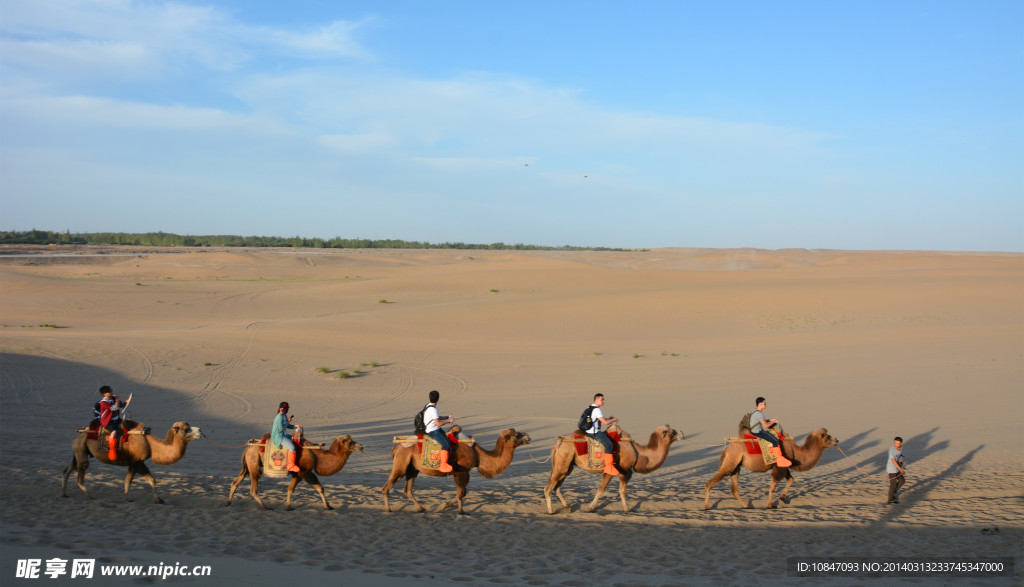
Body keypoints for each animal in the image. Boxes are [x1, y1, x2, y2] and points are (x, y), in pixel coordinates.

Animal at [62, 415, 203, 504]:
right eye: (186, 429)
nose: (200, 430)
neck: (151, 445)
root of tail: (78, 434)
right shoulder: (137, 462)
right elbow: (149, 480)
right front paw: (157, 500)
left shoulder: (134, 463)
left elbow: (129, 480)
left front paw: (127, 498)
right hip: (81, 451)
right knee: (80, 476)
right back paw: (91, 497)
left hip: (79, 450)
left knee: (68, 469)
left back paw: (64, 494)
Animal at [224, 430, 364, 508]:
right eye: (349, 442)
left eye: (353, 440)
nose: (361, 446)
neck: (316, 455)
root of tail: (248, 448)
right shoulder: (300, 473)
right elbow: (291, 489)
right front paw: (288, 506)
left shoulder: (308, 472)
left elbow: (320, 488)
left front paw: (328, 506)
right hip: (254, 465)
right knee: (253, 489)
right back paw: (265, 507)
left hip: (248, 466)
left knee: (236, 482)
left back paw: (228, 503)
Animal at [382, 426, 532, 512]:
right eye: (516, 435)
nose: (528, 436)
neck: (478, 455)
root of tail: (397, 447)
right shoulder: (462, 471)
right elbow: (461, 493)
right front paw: (460, 511)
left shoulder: (460, 473)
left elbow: (462, 493)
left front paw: (445, 505)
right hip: (401, 464)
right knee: (387, 486)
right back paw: (388, 509)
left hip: (412, 469)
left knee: (408, 490)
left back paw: (421, 508)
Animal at [540, 426, 684, 512]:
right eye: (672, 432)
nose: (682, 433)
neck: (638, 453)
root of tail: (558, 444)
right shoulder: (618, 471)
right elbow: (604, 490)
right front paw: (591, 507)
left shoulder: (625, 472)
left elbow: (621, 491)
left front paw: (626, 509)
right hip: (562, 462)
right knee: (549, 487)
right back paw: (551, 511)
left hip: (567, 465)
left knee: (557, 486)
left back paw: (567, 506)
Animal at [704, 426, 839, 508]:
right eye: (827, 437)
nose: (837, 440)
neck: (796, 452)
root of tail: (726, 449)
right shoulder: (779, 467)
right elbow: (773, 486)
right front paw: (770, 505)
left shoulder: (784, 466)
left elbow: (791, 480)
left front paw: (783, 499)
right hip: (731, 461)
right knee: (710, 482)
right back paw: (706, 506)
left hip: (736, 465)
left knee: (734, 489)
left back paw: (746, 506)